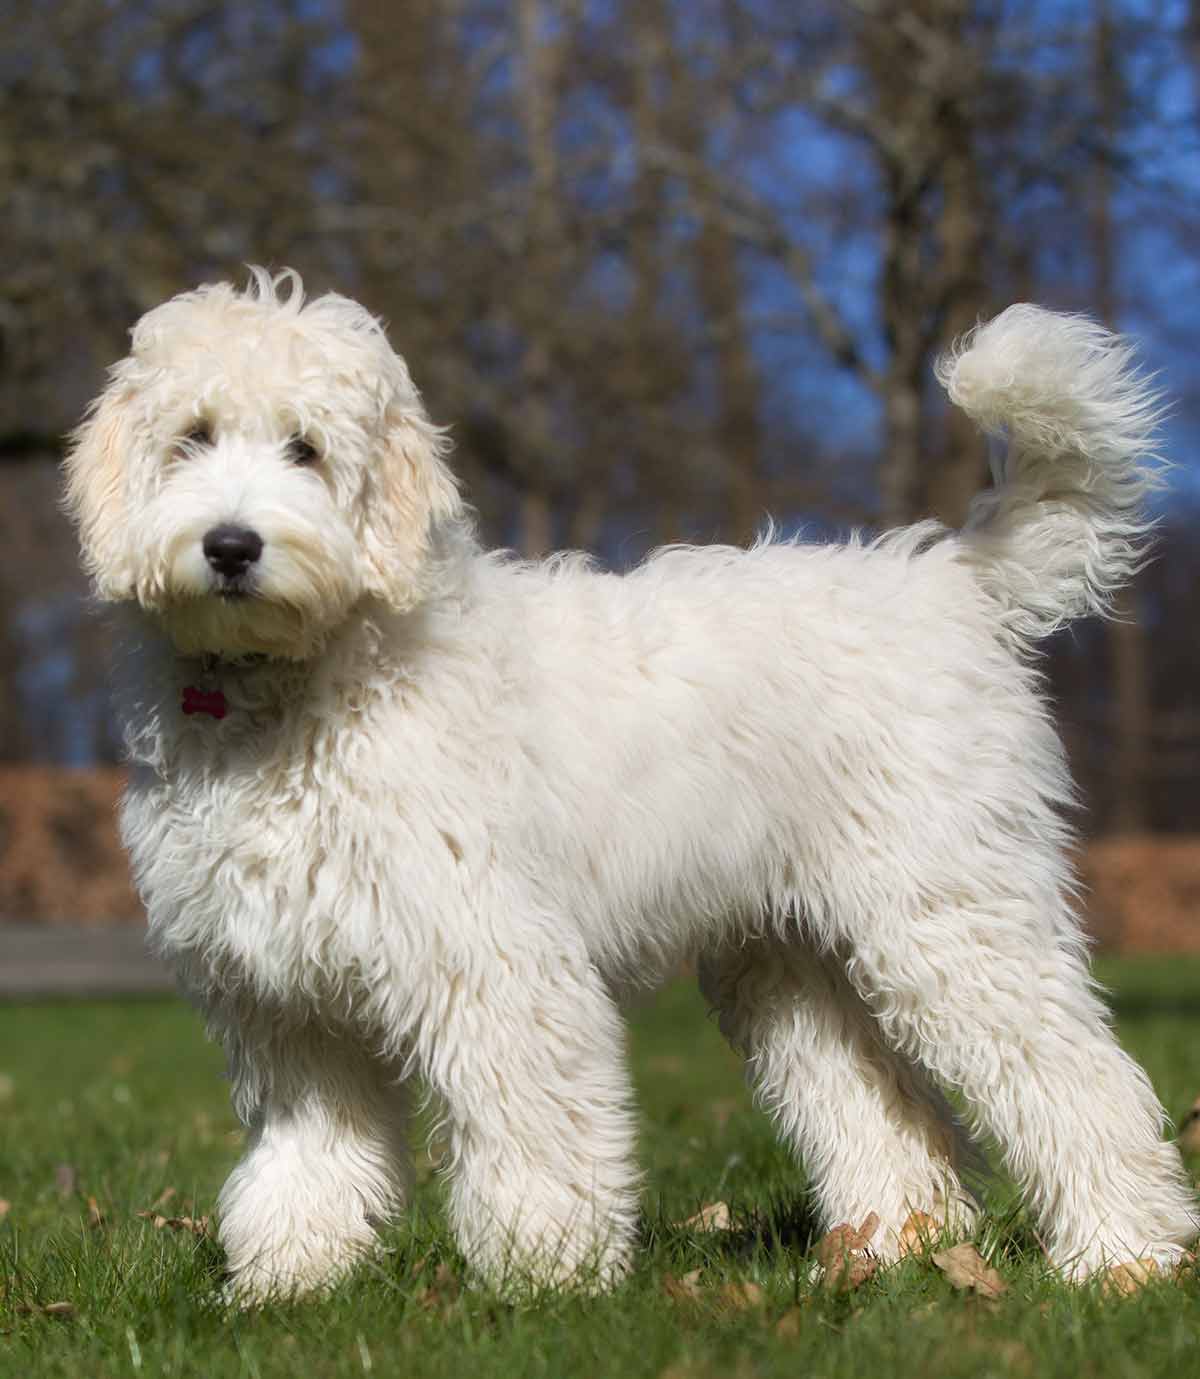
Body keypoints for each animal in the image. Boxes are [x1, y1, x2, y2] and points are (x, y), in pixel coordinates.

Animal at [70, 271, 1197, 1301]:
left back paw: (1122, 1256)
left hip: (953, 913)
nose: (231, 545)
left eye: (304, 448)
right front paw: (288, 1281)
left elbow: (534, 1125)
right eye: (192, 437)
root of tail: (949, 578)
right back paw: (884, 1253)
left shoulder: (493, 957)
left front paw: (546, 1275)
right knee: (883, 1110)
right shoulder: (290, 1004)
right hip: (795, 958)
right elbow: (308, 1154)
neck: (296, 681)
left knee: (1077, 1076)